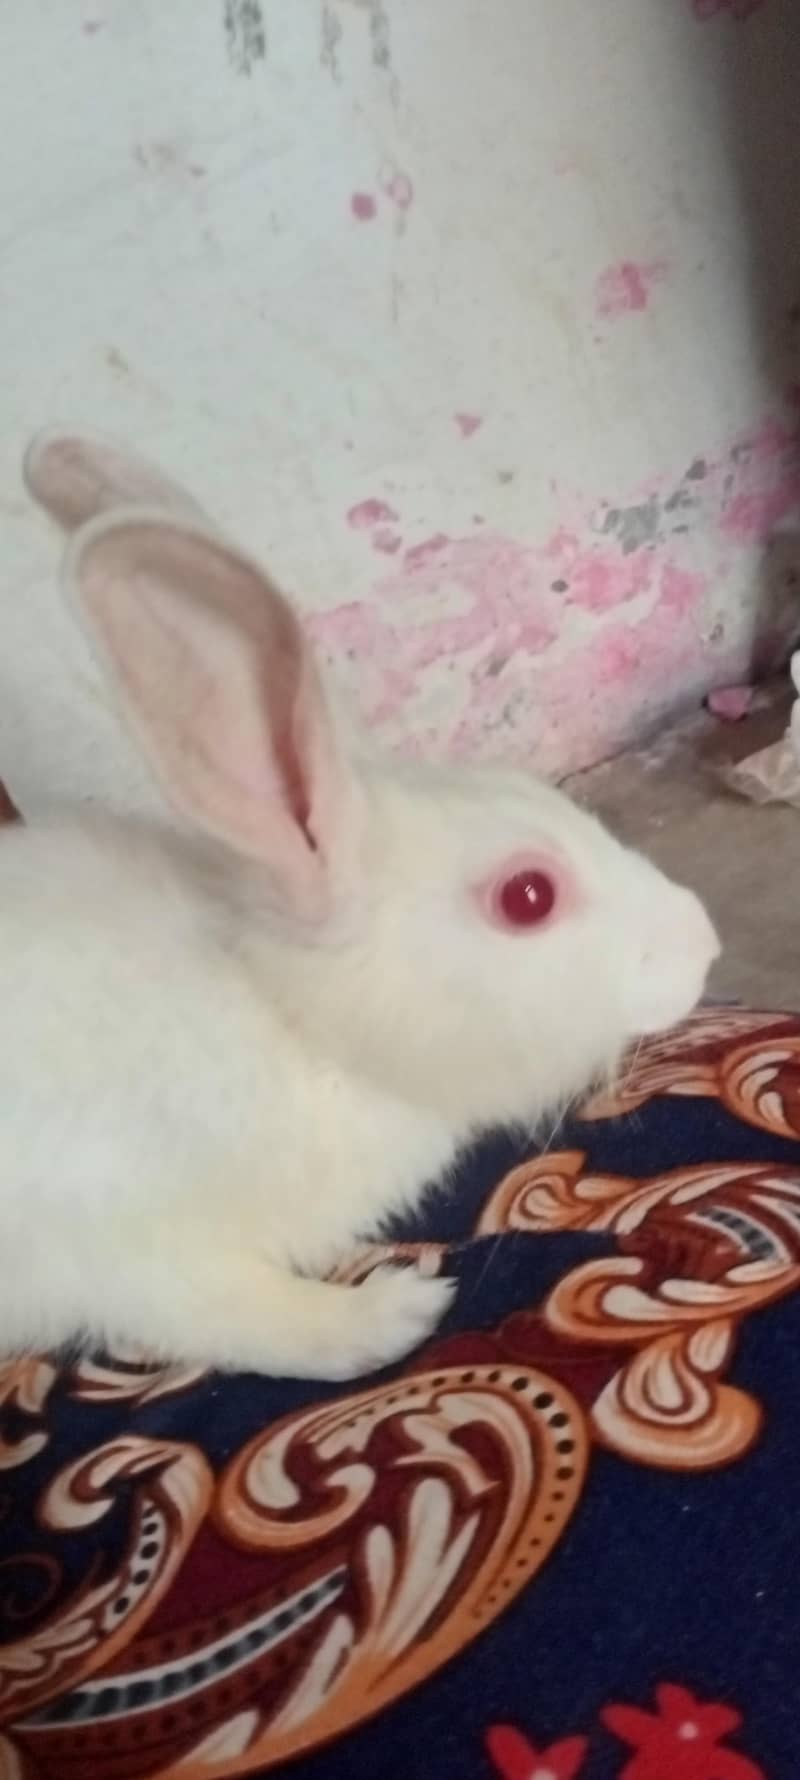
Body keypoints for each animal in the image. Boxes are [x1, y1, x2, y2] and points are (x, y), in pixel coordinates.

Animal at [0, 430, 720, 1380]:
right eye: (528, 896)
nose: (703, 942)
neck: (290, 1017)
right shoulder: (132, 1243)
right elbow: (244, 1320)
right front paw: (395, 1312)